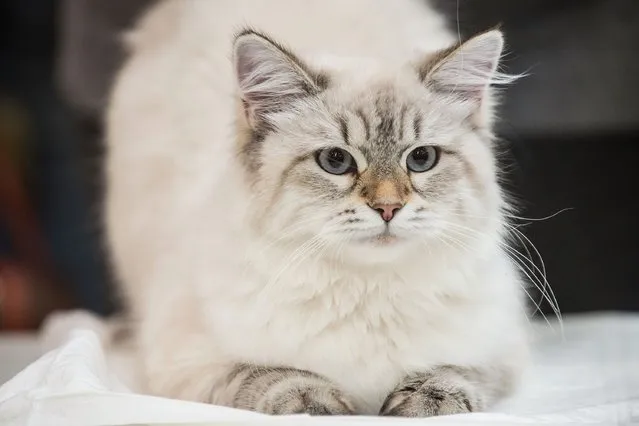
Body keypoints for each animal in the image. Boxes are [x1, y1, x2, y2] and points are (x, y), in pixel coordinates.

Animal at [106, 0, 528, 418]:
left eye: (421, 159)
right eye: (336, 161)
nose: (388, 207)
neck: (368, 290)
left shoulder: (499, 350)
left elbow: (454, 373)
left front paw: (424, 403)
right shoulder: (188, 361)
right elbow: (272, 375)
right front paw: (319, 405)